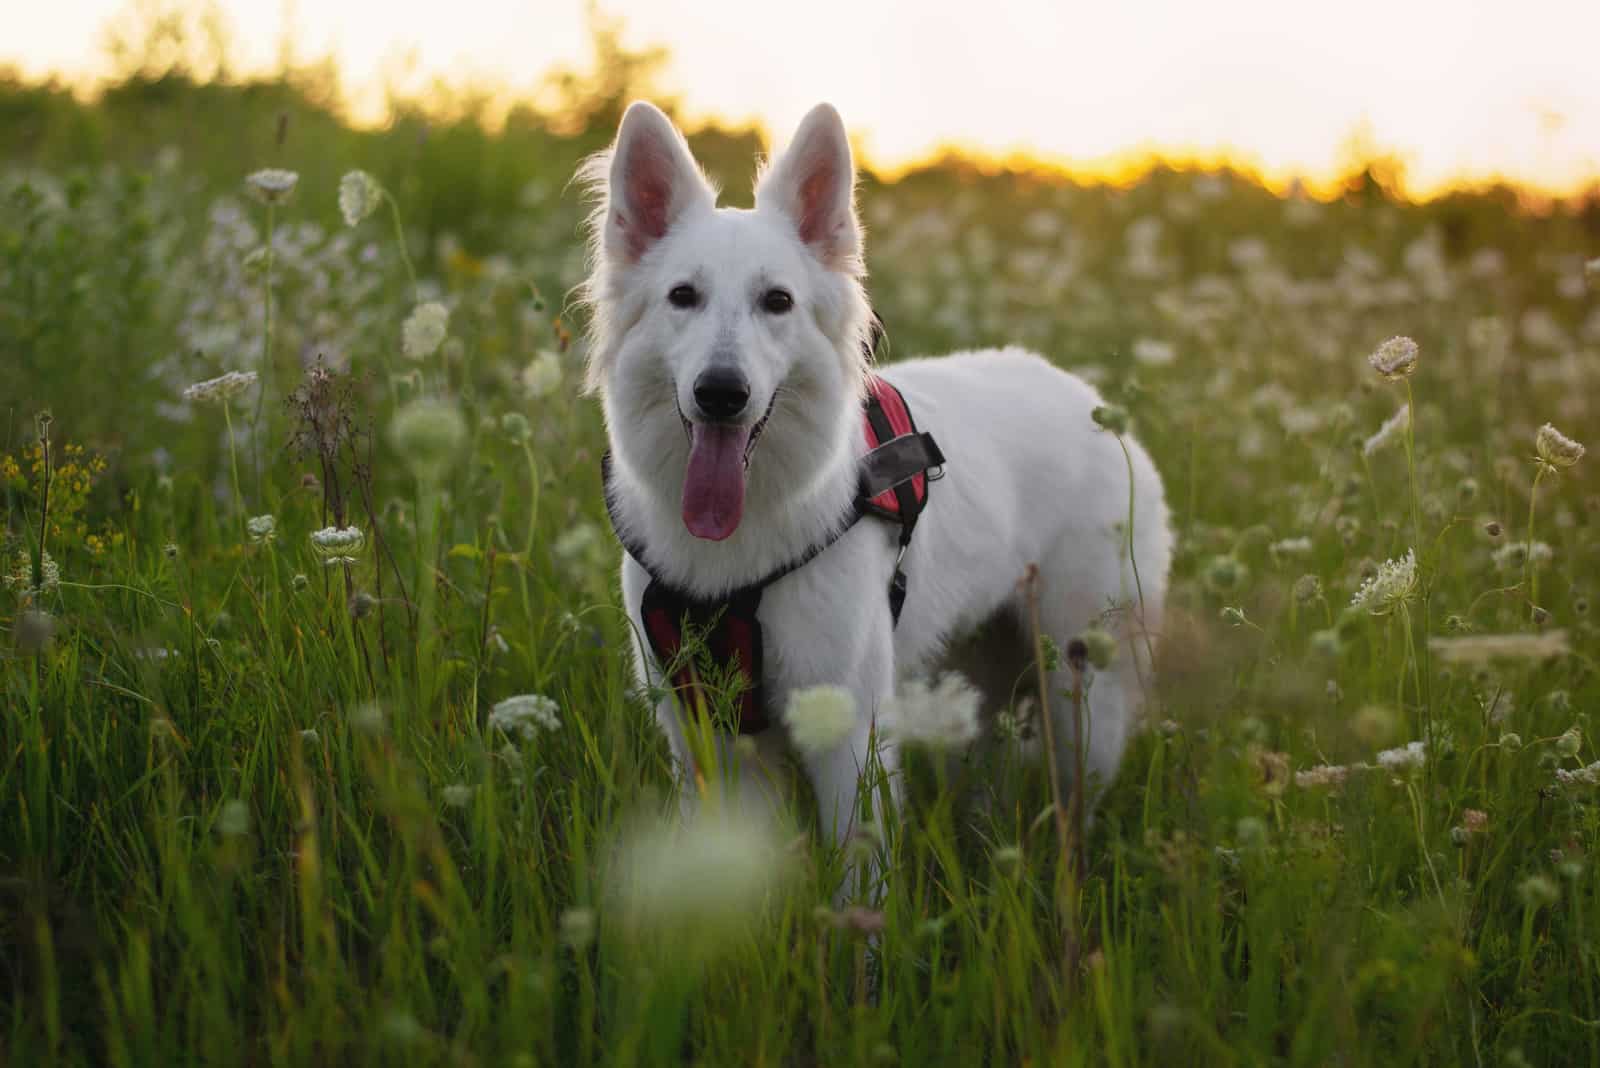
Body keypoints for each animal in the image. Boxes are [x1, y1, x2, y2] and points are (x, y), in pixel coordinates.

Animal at [582, 102, 1171, 856]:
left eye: (778, 301)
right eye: (682, 296)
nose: (721, 394)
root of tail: (1093, 403)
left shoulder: (848, 738)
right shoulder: (708, 742)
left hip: (1082, 698)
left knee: (1076, 801)